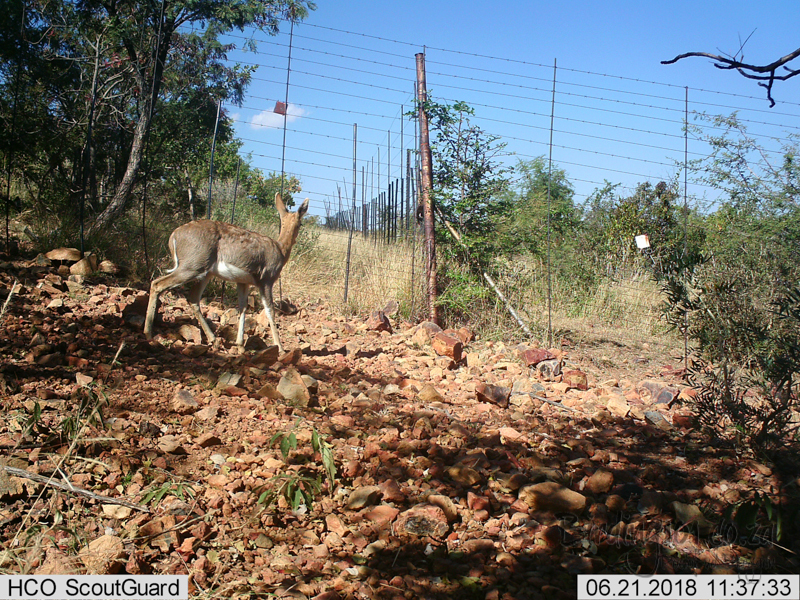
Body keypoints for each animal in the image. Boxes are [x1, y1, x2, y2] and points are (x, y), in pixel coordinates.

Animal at [144, 192, 310, 352]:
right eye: (301, 222)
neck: (281, 250)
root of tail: (174, 236)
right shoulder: (266, 281)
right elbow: (270, 311)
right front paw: (280, 349)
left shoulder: (243, 282)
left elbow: (242, 308)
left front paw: (240, 345)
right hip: (192, 266)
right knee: (157, 284)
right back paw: (148, 334)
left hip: (205, 273)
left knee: (193, 298)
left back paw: (215, 341)